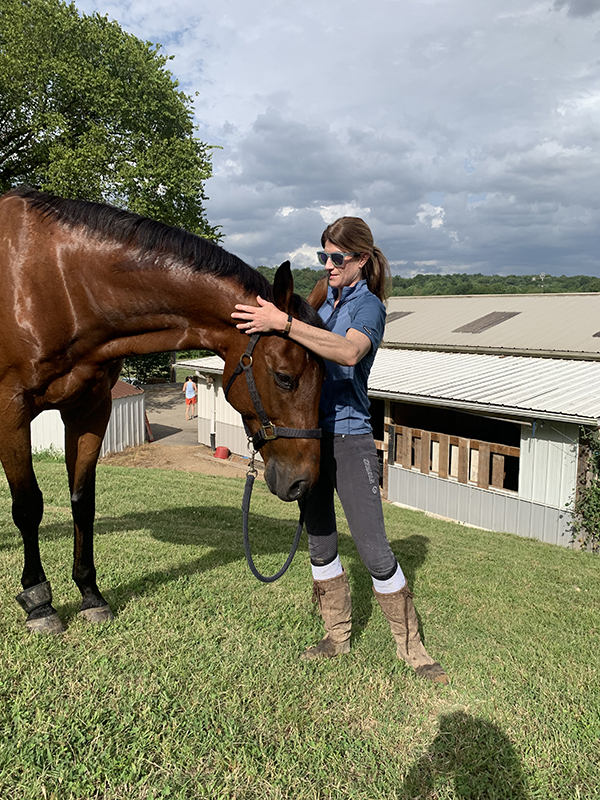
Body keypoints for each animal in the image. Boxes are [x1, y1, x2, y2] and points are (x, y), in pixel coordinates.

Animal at [0, 188, 324, 632]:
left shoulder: (89, 410)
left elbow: (83, 500)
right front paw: (39, 602)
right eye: (285, 377)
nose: (303, 483)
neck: (56, 284)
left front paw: (90, 594)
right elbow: (28, 506)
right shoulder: (10, 412)